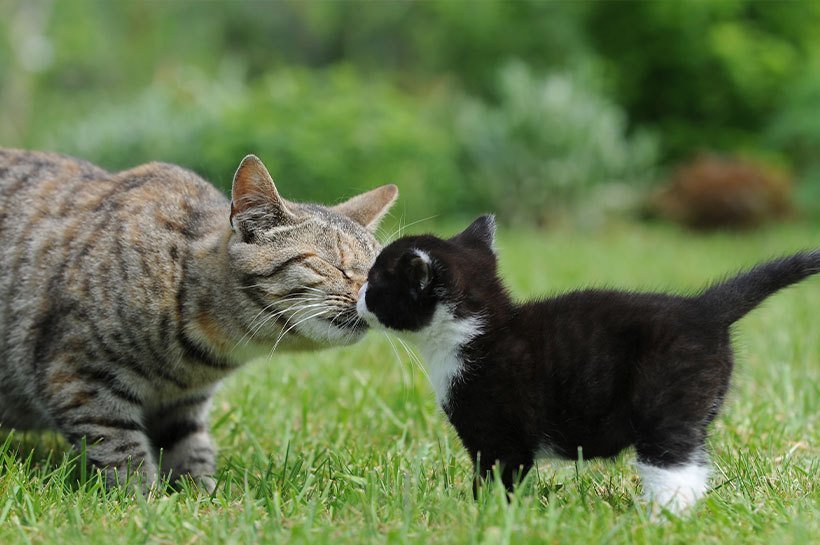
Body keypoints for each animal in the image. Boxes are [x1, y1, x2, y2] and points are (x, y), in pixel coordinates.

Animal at [0, 149, 398, 488]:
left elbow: (191, 453)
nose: (374, 295)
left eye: (378, 270)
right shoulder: (78, 376)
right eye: (334, 264)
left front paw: (201, 497)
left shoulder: (183, 404)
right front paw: (142, 503)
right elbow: (121, 451)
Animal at [358, 215, 820, 512]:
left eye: (376, 282)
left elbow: (499, 477)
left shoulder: (498, 434)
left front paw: (483, 514)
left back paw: (662, 520)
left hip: (664, 396)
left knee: (674, 463)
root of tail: (703, 309)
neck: (476, 329)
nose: (359, 294)